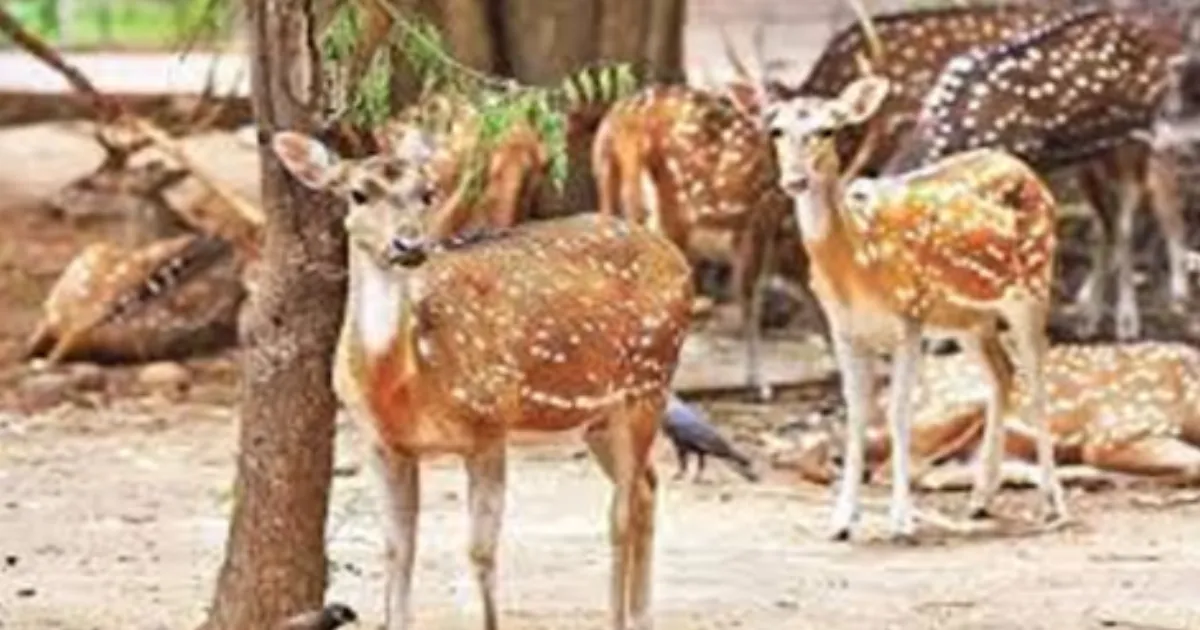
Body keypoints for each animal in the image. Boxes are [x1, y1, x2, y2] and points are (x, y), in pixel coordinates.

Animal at [270, 128, 694, 630]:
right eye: (358, 193)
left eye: (427, 193)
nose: (409, 245)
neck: (402, 381)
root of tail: (679, 259)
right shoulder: (382, 443)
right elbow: (398, 550)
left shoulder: (489, 426)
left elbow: (481, 551)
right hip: (599, 419)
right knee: (647, 488)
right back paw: (643, 616)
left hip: (650, 381)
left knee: (620, 514)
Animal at [762, 75, 1067, 541]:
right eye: (776, 130)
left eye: (828, 129)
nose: (794, 179)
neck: (857, 266)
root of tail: (1030, 173)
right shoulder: (843, 329)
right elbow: (856, 414)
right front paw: (841, 521)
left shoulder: (910, 318)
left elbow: (898, 413)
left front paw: (901, 520)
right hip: (968, 319)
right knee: (1002, 373)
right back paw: (981, 498)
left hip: (1033, 284)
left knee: (1037, 382)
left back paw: (1053, 505)